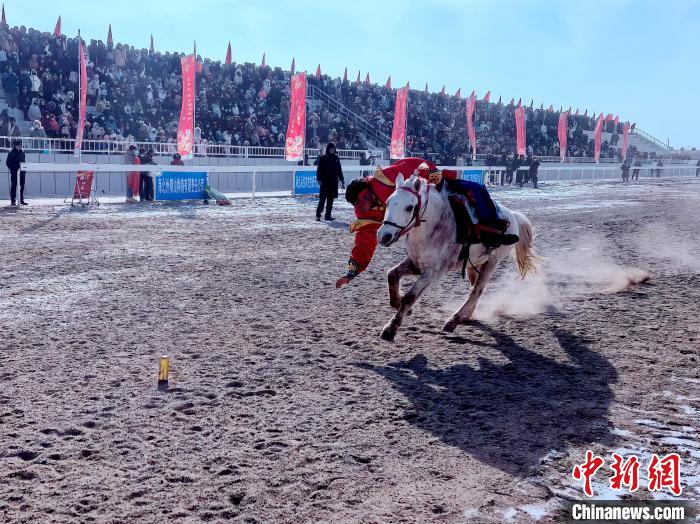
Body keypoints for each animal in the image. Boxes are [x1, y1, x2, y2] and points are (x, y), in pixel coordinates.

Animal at [375, 173, 537, 342]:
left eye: (409, 207)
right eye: (387, 203)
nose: (384, 236)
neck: (433, 227)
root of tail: (513, 216)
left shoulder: (433, 272)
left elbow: (410, 296)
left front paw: (391, 328)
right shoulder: (415, 263)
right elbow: (392, 274)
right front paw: (397, 303)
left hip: (492, 263)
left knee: (477, 291)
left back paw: (454, 319)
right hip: (473, 265)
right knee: (474, 288)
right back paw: (466, 316)